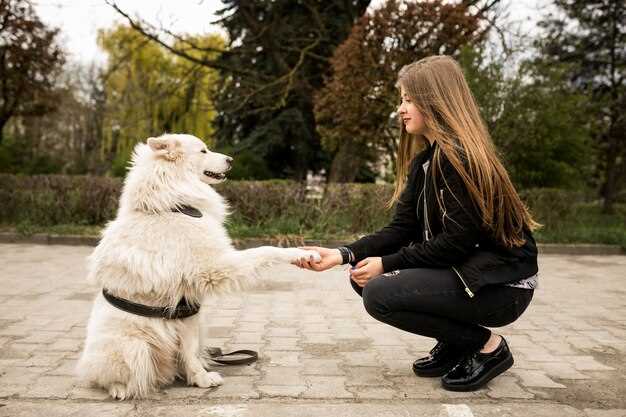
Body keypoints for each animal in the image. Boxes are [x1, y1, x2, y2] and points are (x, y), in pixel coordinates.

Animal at [78, 134, 320, 400]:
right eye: (203, 151)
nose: (231, 160)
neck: (173, 205)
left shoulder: (189, 311)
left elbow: (190, 351)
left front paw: (200, 379)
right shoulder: (215, 267)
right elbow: (265, 250)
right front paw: (302, 253)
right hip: (135, 347)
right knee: (112, 377)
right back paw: (120, 388)